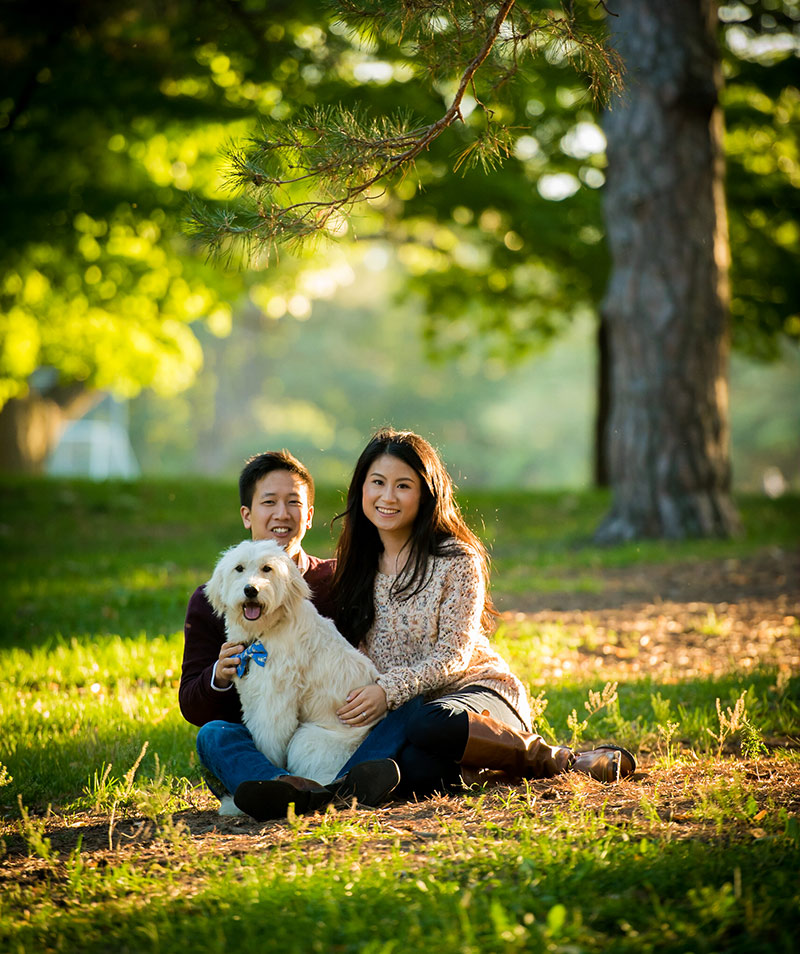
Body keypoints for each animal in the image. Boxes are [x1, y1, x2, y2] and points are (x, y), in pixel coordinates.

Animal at [205, 540, 382, 784]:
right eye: (238, 568)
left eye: (267, 568)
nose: (251, 590)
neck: (265, 631)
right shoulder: (253, 696)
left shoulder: (276, 700)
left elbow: (268, 741)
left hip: (306, 739)